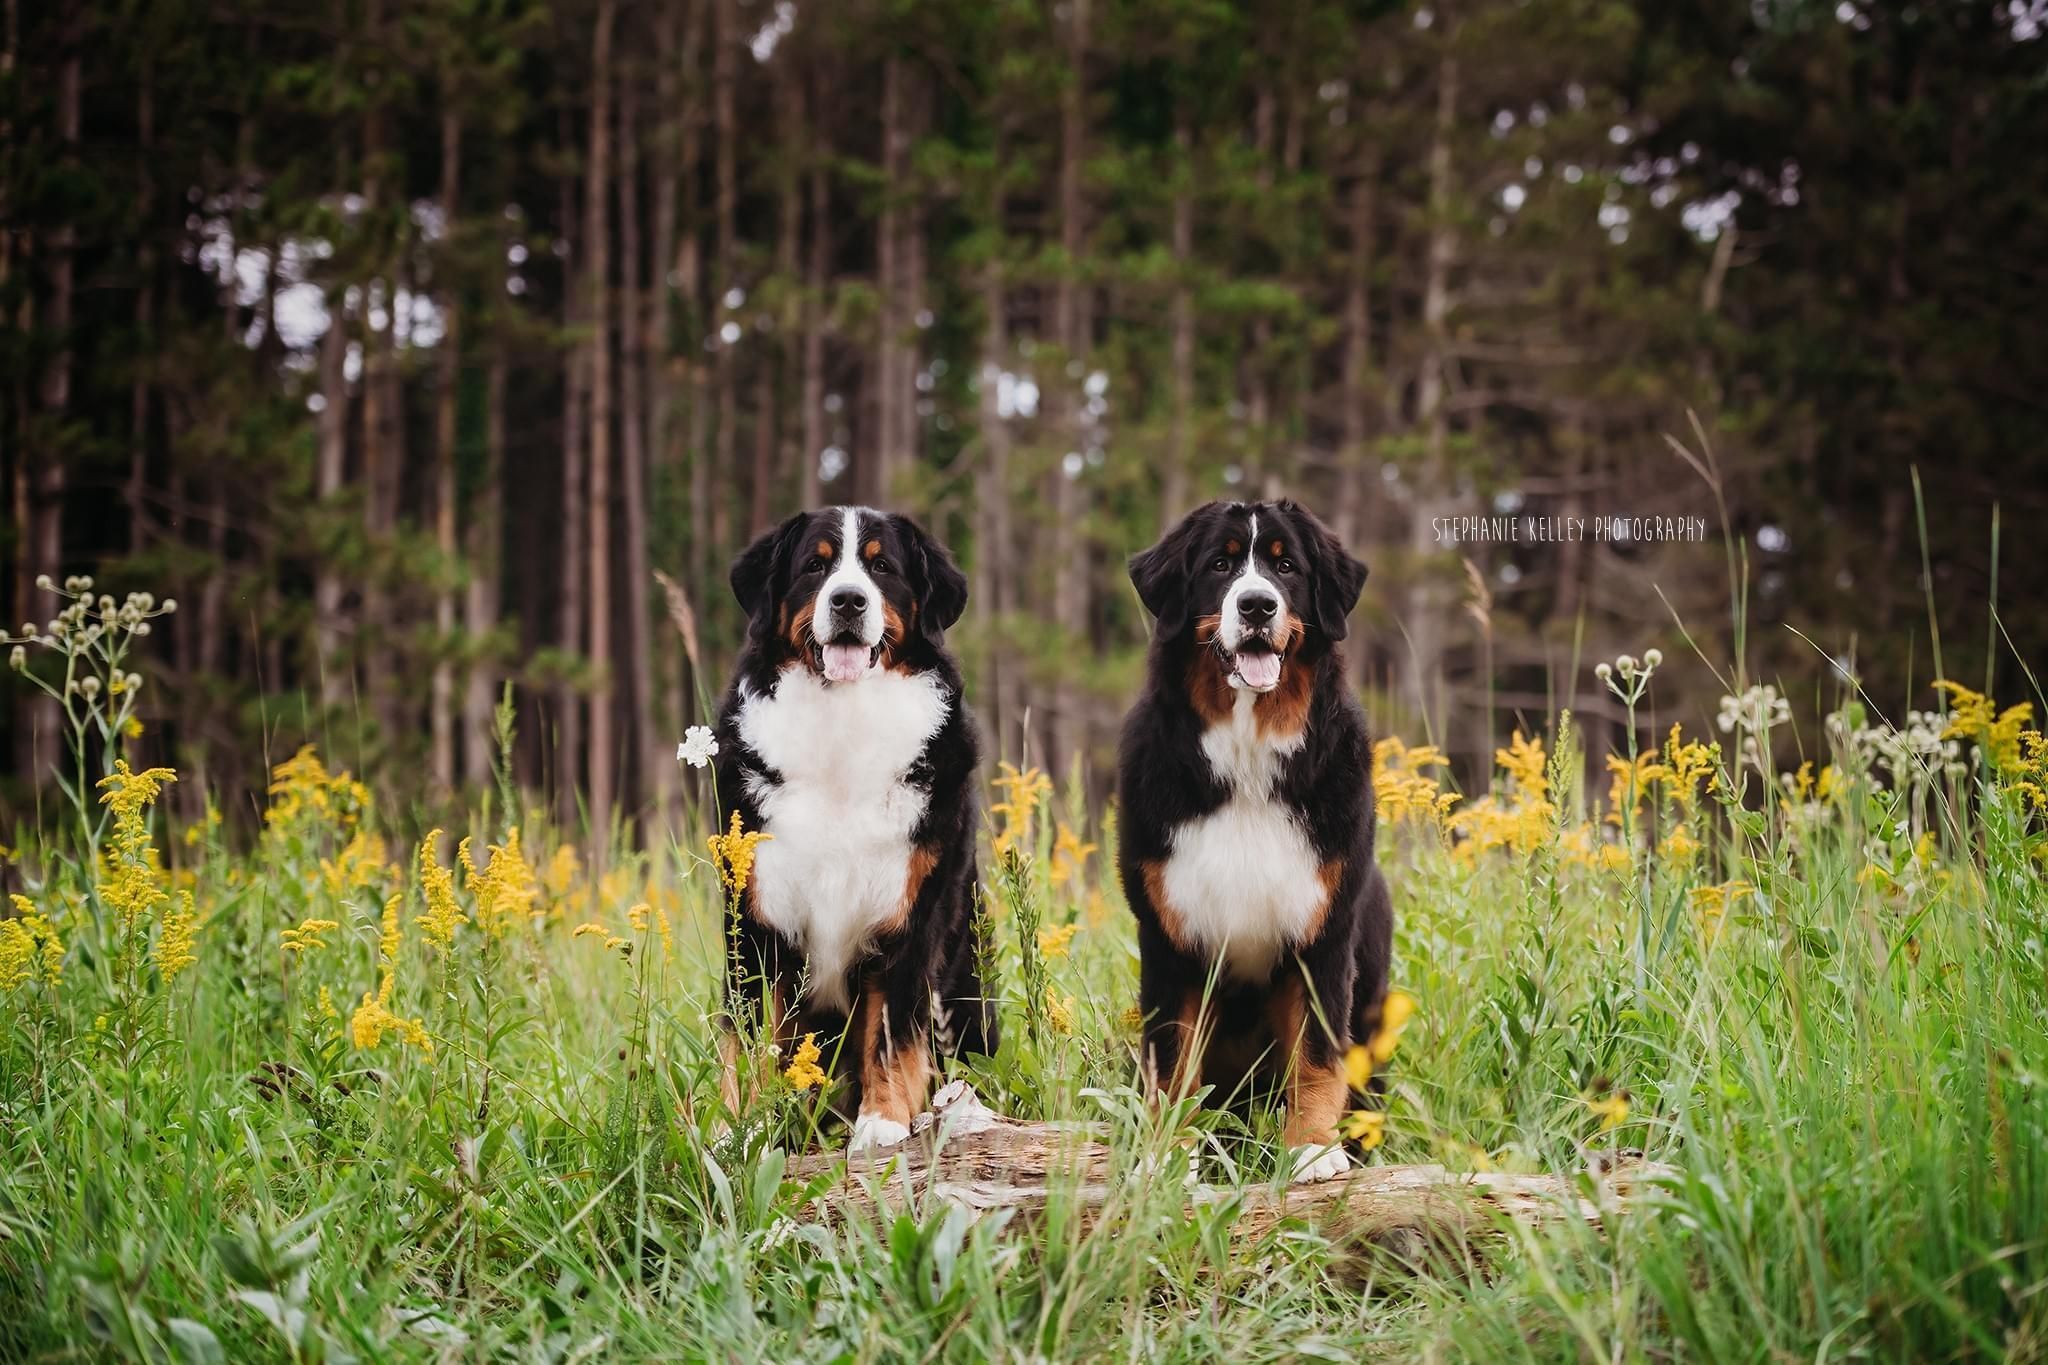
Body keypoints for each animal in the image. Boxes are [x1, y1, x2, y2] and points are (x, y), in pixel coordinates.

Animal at [712, 505, 991, 1154]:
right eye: (814, 566)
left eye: (881, 567)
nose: (847, 600)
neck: (842, 723)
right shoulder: (755, 921)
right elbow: (748, 1034)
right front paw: (738, 1126)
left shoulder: (911, 914)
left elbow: (890, 1032)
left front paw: (882, 1122)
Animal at [1122, 499, 1392, 1186]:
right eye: (1219, 565)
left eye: (1285, 566)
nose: (1256, 606)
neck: (1246, 762)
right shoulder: (1171, 940)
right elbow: (1174, 1063)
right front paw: (1169, 1156)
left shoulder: (1323, 935)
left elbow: (1318, 1054)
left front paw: (1314, 1151)